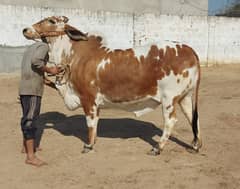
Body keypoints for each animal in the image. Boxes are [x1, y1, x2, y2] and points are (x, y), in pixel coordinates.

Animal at [23, 15, 202, 155]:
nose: (25, 29)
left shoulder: (88, 99)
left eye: (51, 20)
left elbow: (90, 123)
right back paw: (195, 145)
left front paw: (89, 145)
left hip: (169, 98)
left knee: (171, 121)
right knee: (192, 117)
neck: (75, 56)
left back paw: (158, 148)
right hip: (185, 97)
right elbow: (95, 123)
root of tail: (189, 49)